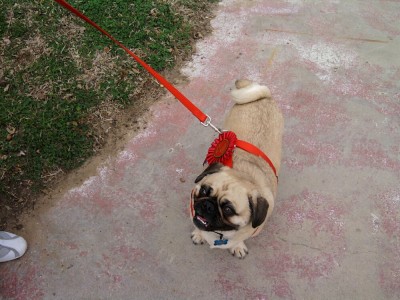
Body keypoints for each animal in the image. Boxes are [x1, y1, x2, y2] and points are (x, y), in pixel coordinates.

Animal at [189, 79, 282, 258]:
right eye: (204, 191)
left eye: (228, 209)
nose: (208, 205)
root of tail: (264, 97)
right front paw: (199, 234)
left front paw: (237, 246)